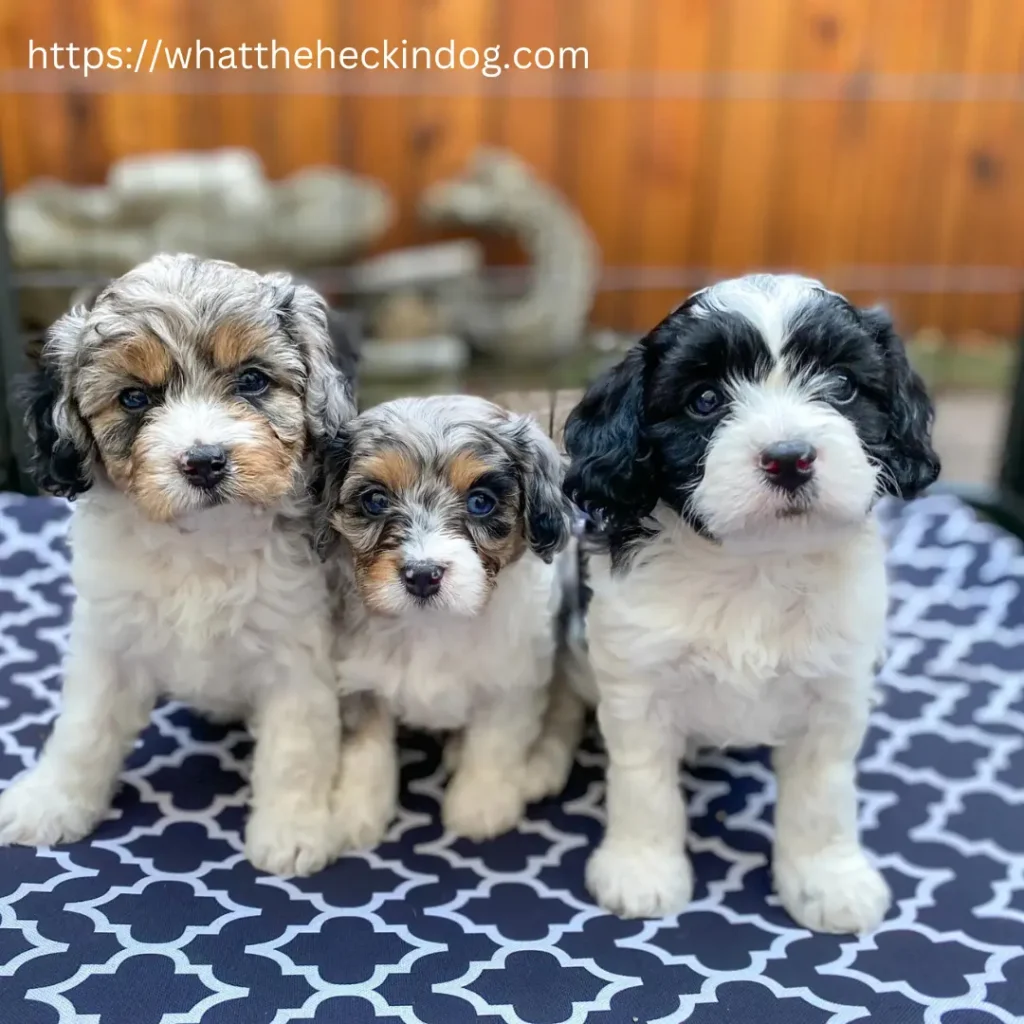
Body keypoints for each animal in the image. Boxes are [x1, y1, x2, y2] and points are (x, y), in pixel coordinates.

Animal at [0, 251, 356, 876]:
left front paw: (293, 828)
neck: (199, 539)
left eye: (252, 380)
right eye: (134, 398)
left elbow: (295, 747)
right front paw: (51, 801)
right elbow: (84, 728)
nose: (205, 461)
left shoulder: (297, 651)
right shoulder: (109, 639)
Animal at [313, 395, 585, 851]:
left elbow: (494, 743)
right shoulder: (360, 678)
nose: (422, 575)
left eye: (480, 502)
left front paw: (481, 805)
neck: (432, 626)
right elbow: (367, 748)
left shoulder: (512, 682)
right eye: (375, 500)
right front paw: (356, 812)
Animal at [565, 276, 937, 933]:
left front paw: (827, 879)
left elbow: (822, 792)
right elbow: (643, 782)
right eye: (706, 400)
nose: (789, 457)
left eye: (842, 385)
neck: (756, 564)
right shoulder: (636, 681)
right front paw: (641, 868)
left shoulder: (835, 690)